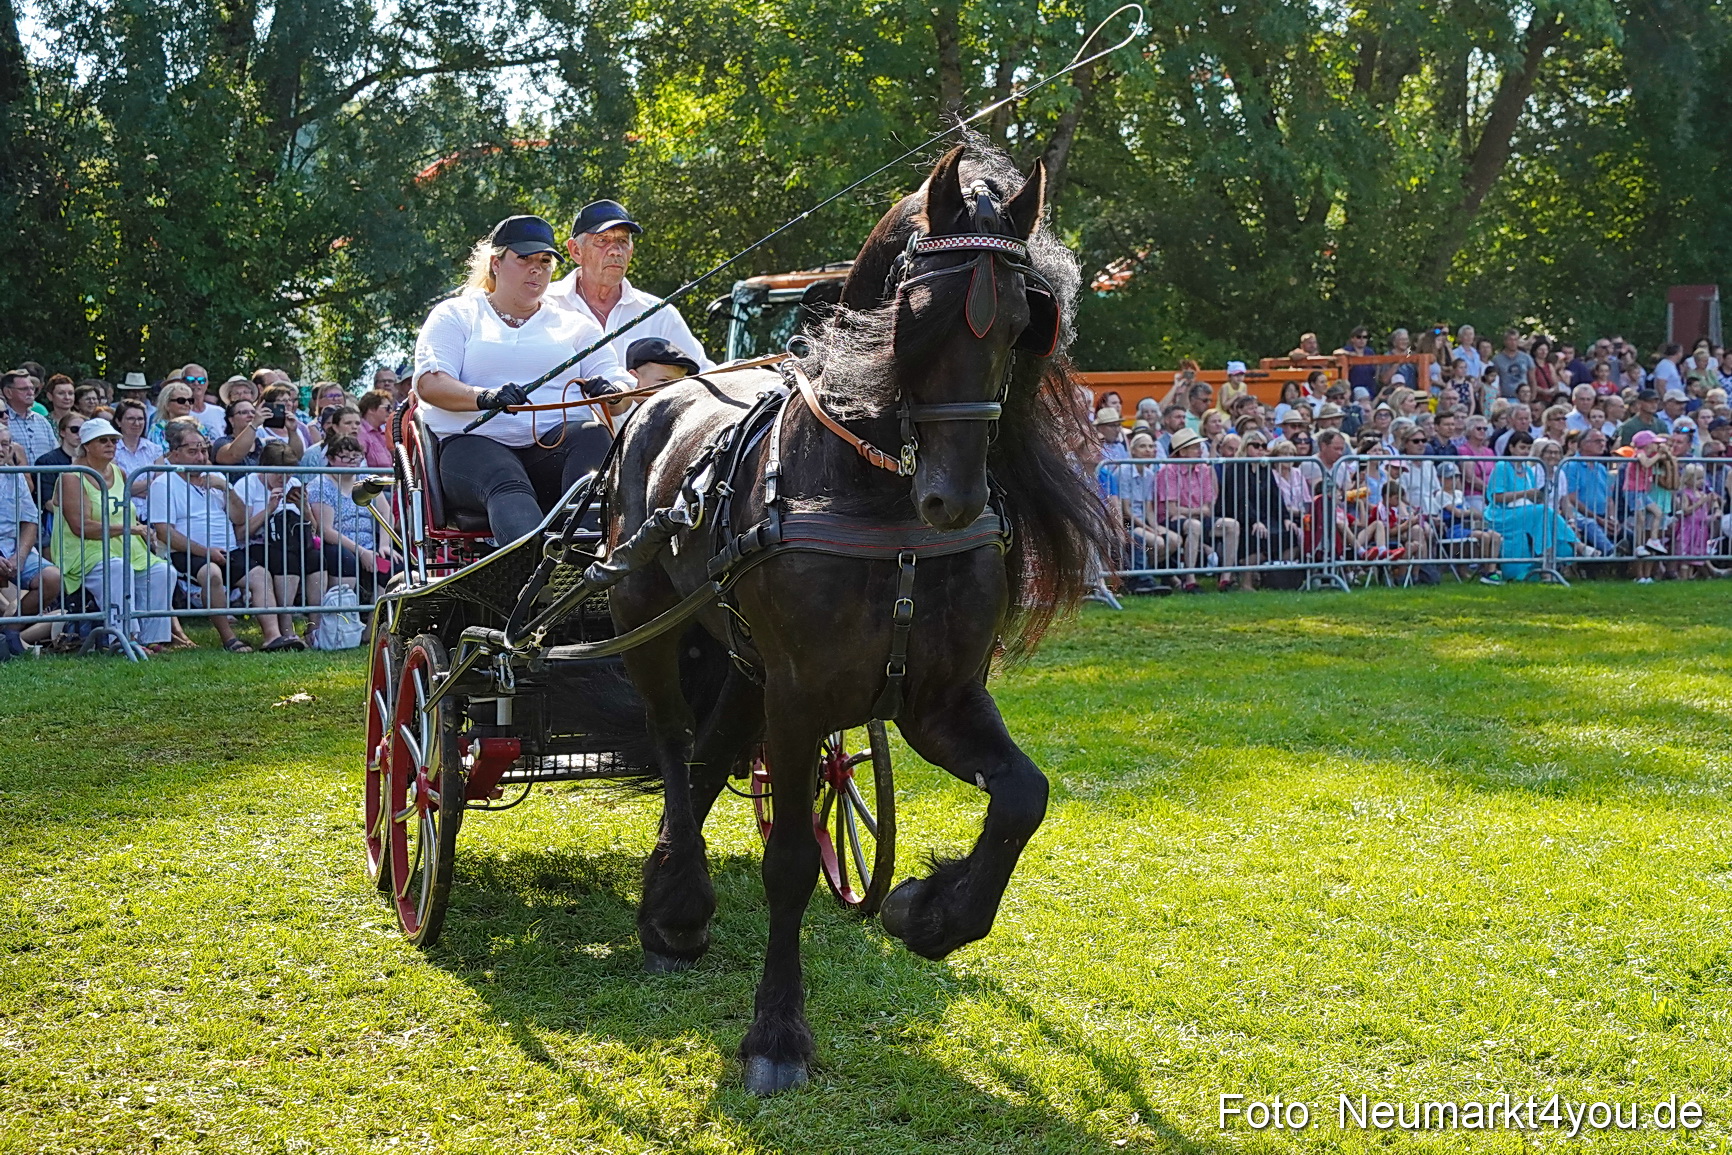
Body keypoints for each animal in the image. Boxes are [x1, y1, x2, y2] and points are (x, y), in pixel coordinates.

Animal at [601, 138, 1109, 1094]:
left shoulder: (937, 697)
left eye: (1023, 320)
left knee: (713, 746)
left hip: (746, 661)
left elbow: (1023, 795)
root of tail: (653, 399)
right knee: (676, 745)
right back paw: (679, 893)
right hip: (642, 616)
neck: (878, 496)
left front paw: (928, 910)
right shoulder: (803, 698)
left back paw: (671, 904)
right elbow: (793, 859)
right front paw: (776, 1033)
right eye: (921, 312)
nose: (953, 499)